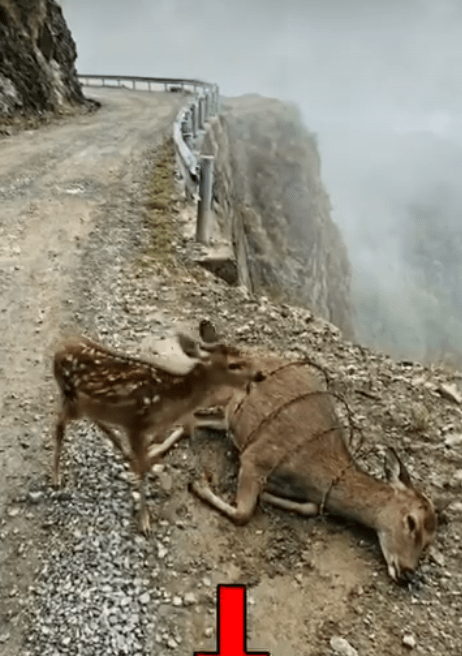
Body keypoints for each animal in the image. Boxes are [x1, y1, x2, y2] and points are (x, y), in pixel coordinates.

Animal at [52, 332, 264, 533]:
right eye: (233, 365)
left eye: (244, 353)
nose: (260, 374)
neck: (170, 399)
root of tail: (58, 351)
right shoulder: (136, 425)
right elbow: (142, 466)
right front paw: (144, 521)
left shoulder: (148, 430)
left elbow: (146, 459)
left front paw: (153, 470)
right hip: (72, 396)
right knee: (59, 424)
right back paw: (56, 478)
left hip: (87, 404)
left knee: (93, 420)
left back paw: (122, 451)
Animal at [190, 350, 437, 583]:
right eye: (411, 522)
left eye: (429, 540)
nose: (407, 571)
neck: (314, 475)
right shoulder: (257, 456)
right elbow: (243, 513)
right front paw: (198, 484)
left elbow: (308, 508)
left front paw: (267, 495)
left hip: (226, 418)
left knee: (196, 420)